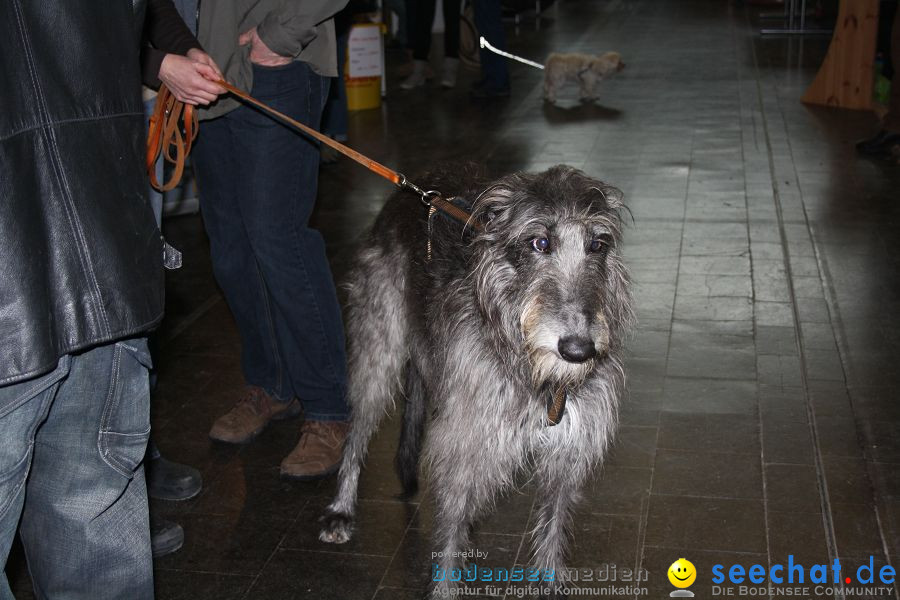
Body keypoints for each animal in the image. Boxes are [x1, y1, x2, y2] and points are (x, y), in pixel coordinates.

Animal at [318, 165, 632, 600]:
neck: (533, 371)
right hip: (378, 350)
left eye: (598, 245)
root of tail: (409, 192)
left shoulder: (568, 448)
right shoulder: (464, 442)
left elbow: (553, 523)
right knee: (357, 431)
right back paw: (341, 510)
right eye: (539, 242)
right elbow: (450, 533)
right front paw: (445, 588)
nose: (578, 349)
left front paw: (549, 584)